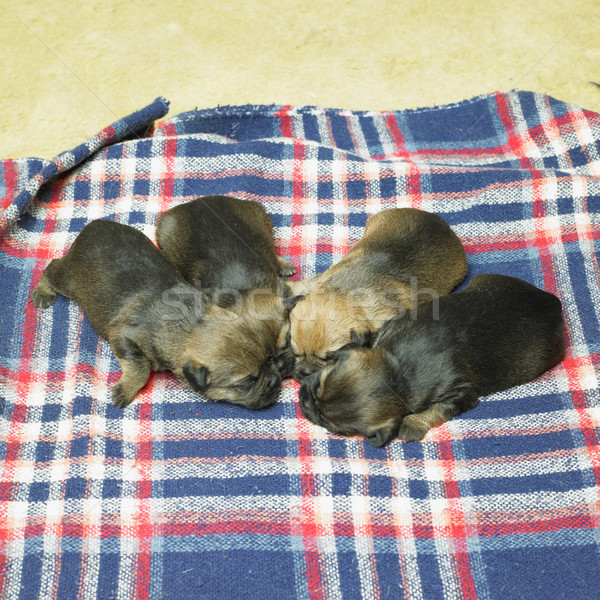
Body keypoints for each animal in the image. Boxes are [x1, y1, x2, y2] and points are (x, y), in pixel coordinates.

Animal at [32, 218, 284, 410]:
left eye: (269, 358)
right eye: (247, 381)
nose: (275, 381)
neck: (191, 325)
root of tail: (93, 225)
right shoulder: (123, 335)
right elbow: (140, 366)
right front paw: (126, 390)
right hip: (70, 280)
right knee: (52, 267)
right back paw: (43, 291)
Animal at [300, 274, 568, 448]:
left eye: (333, 427)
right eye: (320, 382)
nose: (304, 400)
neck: (397, 368)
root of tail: (551, 301)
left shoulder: (459, 393)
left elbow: (437, 409)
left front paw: (412, 423)